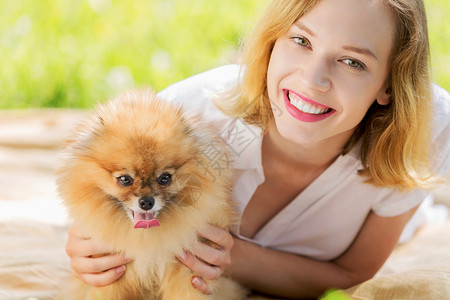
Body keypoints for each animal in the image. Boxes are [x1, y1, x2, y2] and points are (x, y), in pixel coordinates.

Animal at [57, 89, 246, 300]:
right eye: (125, 180)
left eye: (165, 178)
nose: (146, 202)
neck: (147, 238)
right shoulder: (111, 272)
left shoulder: (189, 266)